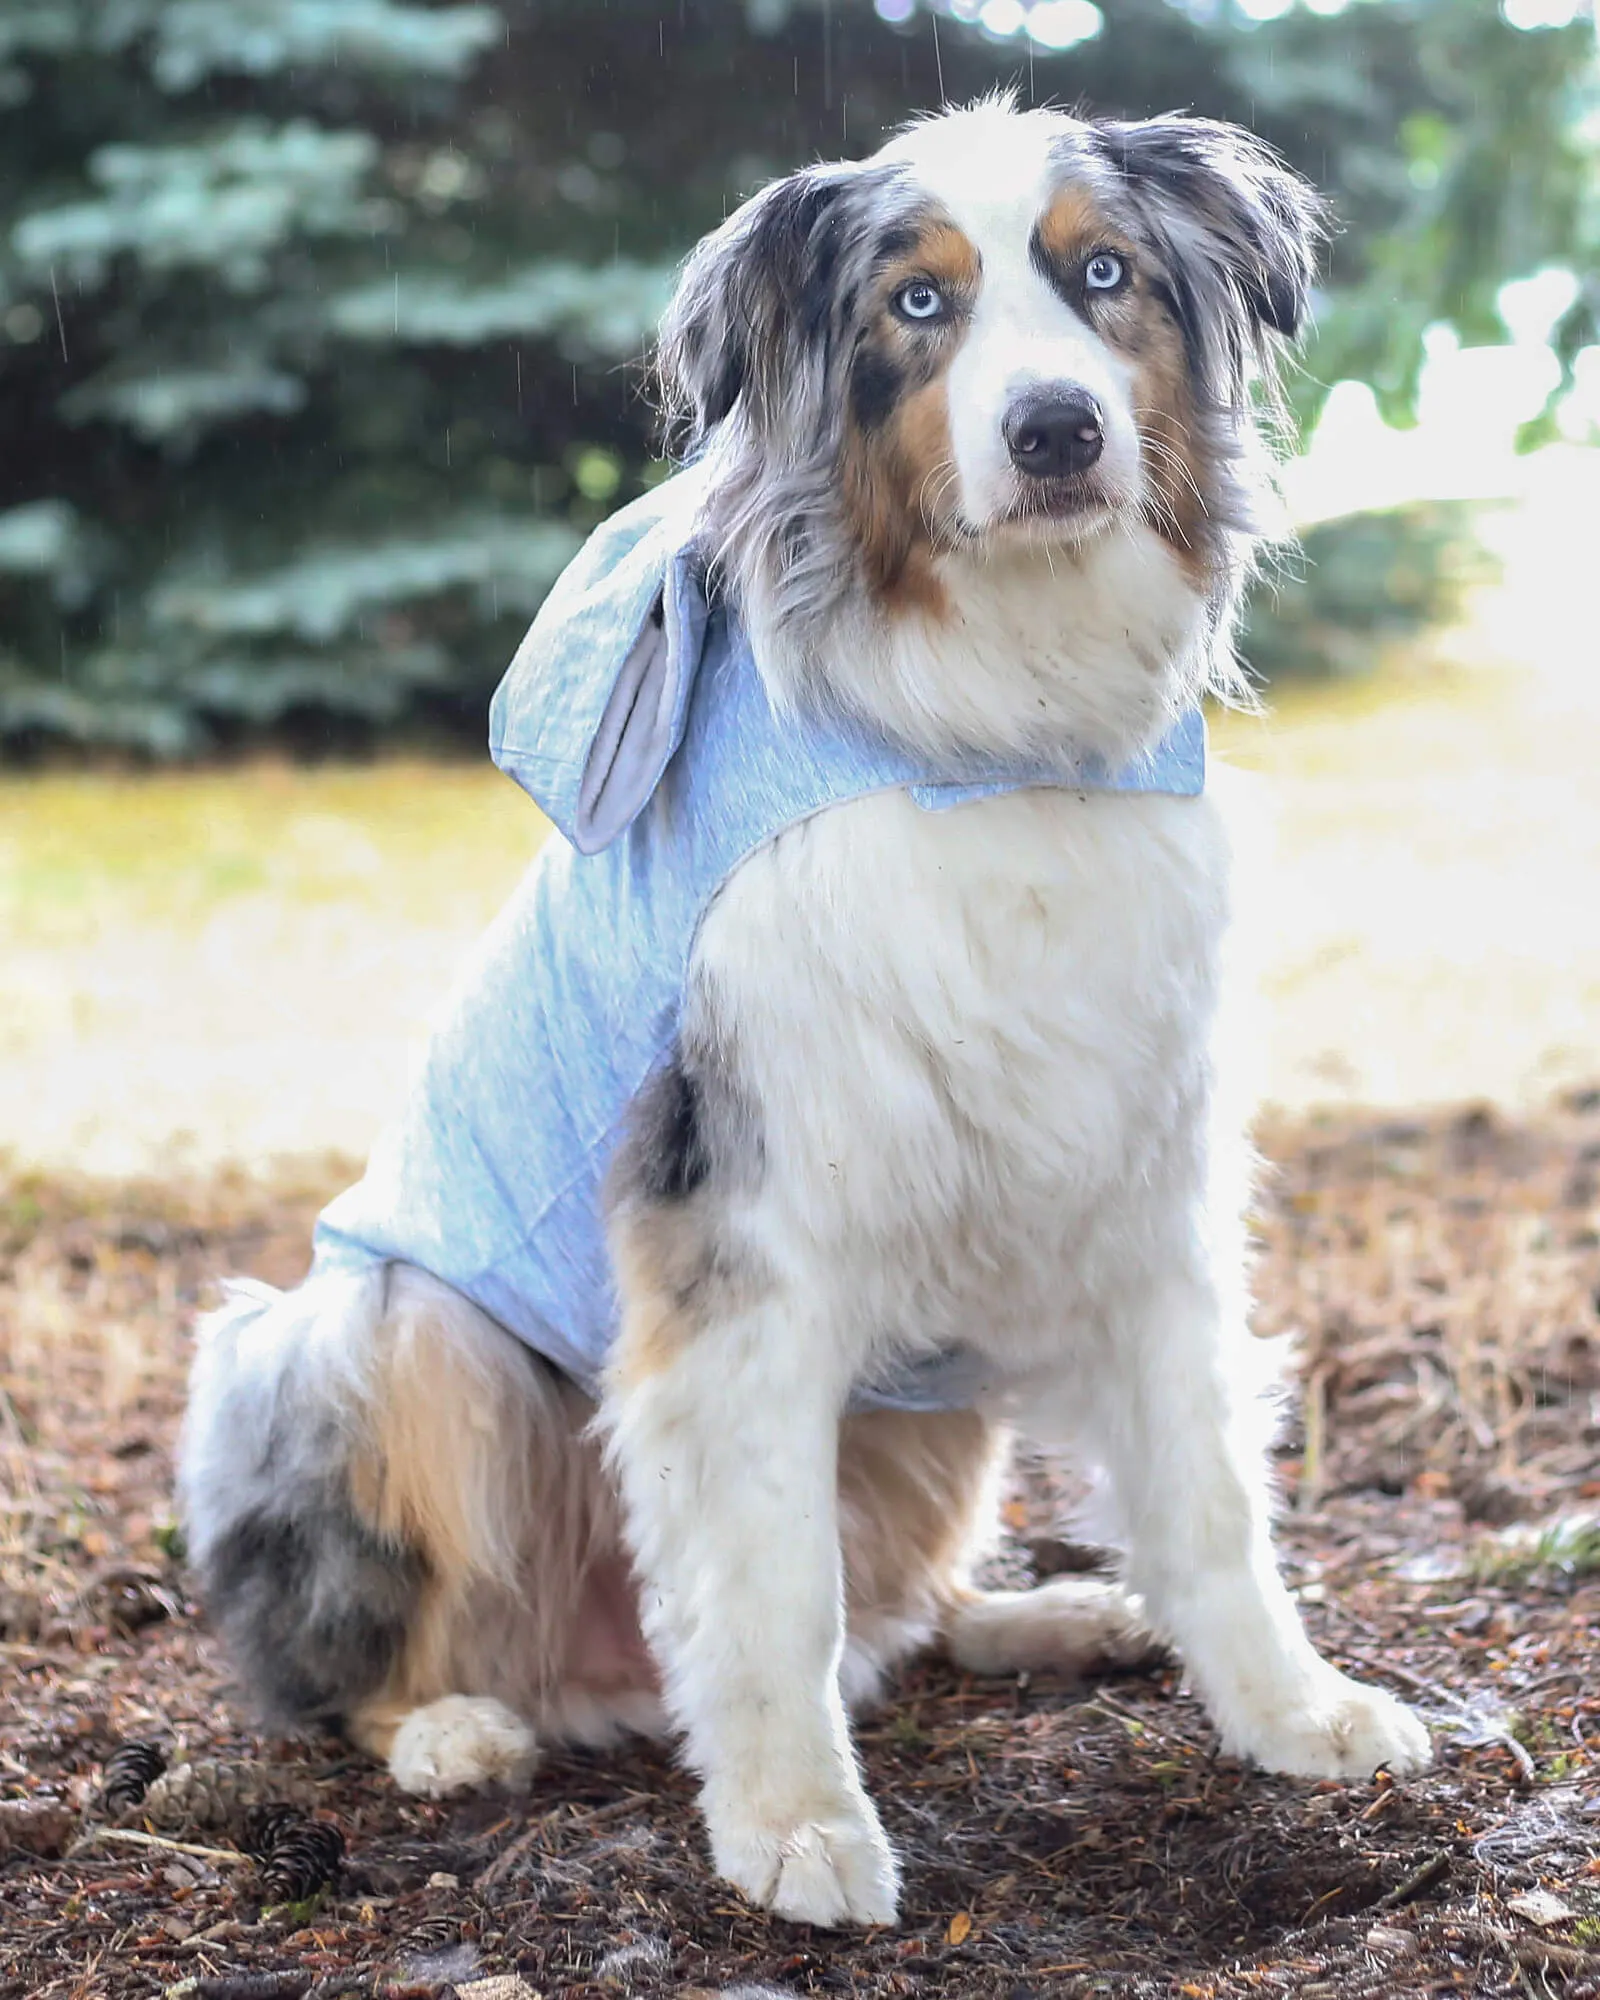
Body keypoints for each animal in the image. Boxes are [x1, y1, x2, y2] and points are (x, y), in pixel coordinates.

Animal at [181, 101, 1432, 1928]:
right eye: (919, 304)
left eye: (1104, 275)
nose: (1055, 430)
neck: (991, 737)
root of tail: (605, 1685)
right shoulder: (744, 1231)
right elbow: (768, 1581)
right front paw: (791, 1827)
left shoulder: (1142, 1175)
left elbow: (1208, 1497)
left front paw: (1292, 1711)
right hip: (377, 1333)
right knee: (384, 1654)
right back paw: (452, 1727)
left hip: (937, 1407)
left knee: (899, 1613)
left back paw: (1049, 1615)